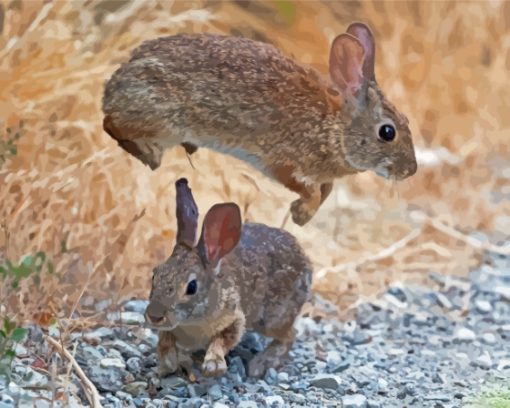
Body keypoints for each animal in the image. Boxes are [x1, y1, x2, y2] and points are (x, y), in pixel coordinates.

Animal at [101, 23, 416, 225]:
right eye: (387, 132)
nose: (411, 170)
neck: (335, 128)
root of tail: (114, 85)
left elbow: (324, 191)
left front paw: (301, 216)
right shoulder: (282, 161)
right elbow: (309, 189)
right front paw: (303, 210)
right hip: (162, 118)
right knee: (111, 124)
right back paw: (150, 155)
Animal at [143, 178, 310, 380]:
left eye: (192, 287)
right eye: (155, 274)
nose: (154, 316)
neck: (192, 321)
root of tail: (305, 260)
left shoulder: (234, 318)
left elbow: (222, 340)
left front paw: (213, 366)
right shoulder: (170, 330)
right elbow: (165, 342)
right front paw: (167, 365)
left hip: (274, 317)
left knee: (290, 335)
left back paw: (260, 364)